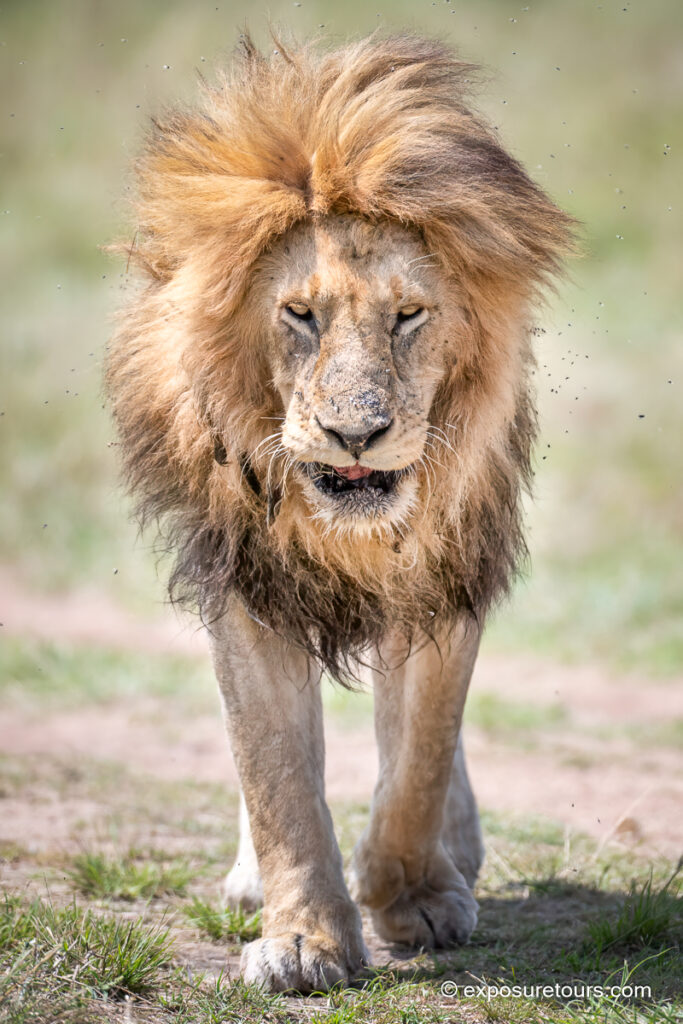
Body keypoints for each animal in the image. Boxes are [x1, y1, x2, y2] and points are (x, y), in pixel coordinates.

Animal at [105, 34, 574, 993]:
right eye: (299, 314)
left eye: (408, 316)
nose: (355, 432)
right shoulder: (249, 592)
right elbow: (275, 772)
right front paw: (302, 939)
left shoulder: (442, 585)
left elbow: (420, 758)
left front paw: (412, 899)